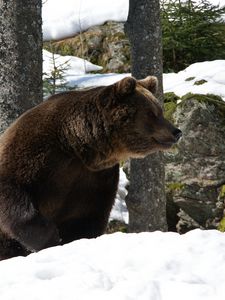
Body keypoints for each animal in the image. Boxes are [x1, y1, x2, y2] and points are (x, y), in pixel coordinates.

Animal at [0, 76, 181, 258]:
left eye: (160, 111)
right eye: (151, 113)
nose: (176, 131)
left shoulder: (93, 178)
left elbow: (86, 217)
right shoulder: (34, 152)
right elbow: (13, 194)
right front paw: (51, 237)